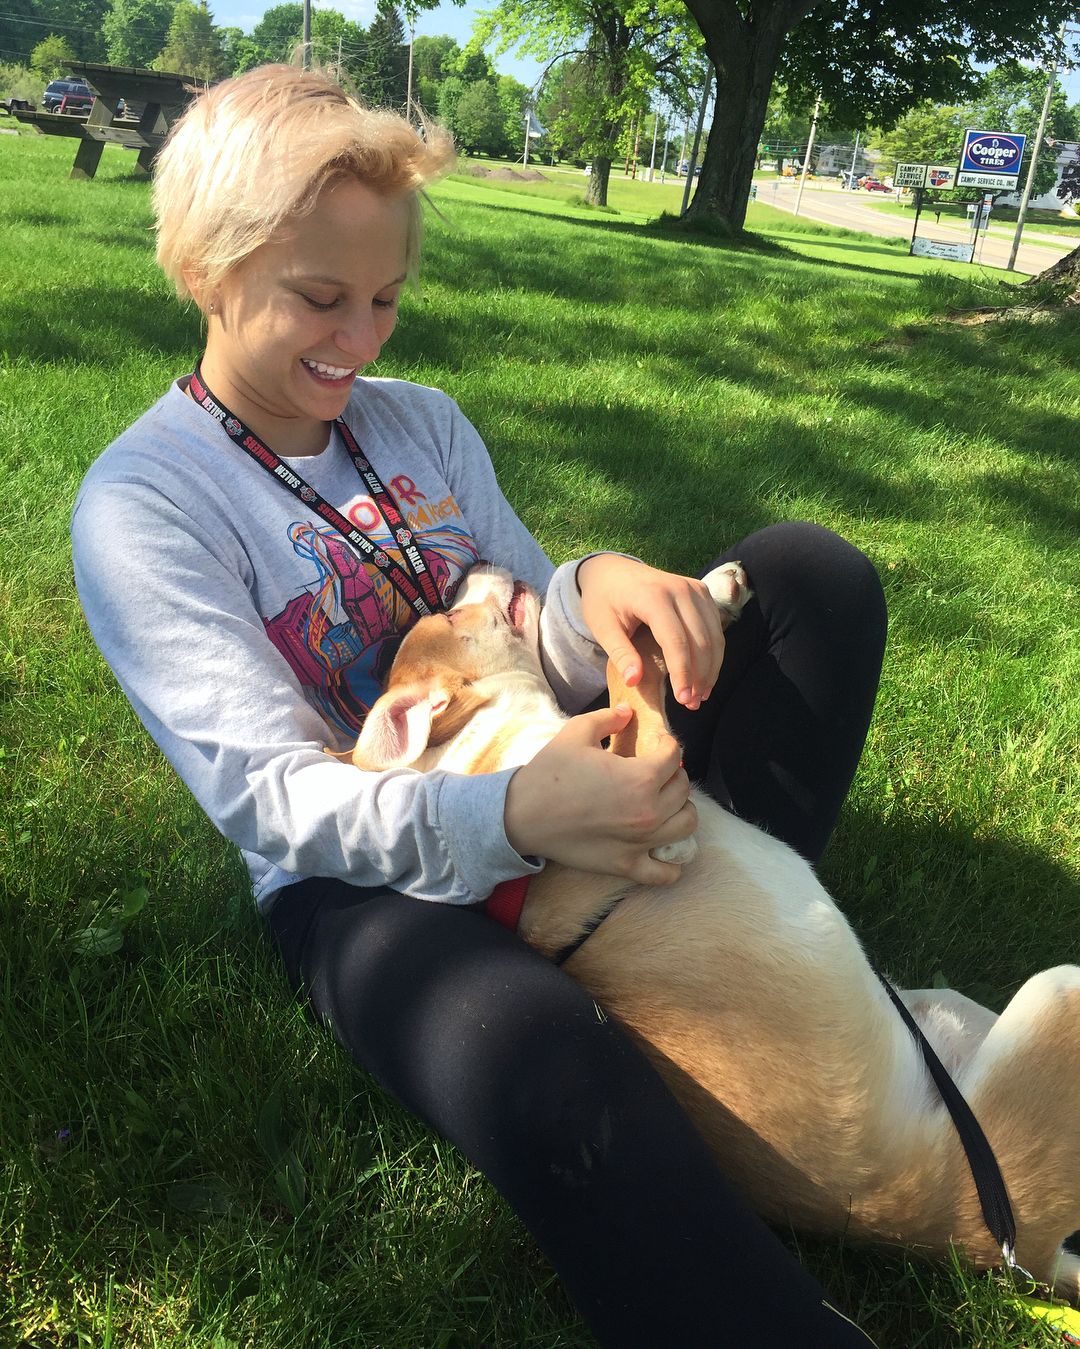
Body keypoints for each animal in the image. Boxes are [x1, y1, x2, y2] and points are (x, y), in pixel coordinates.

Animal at [350, 561, 1078, 1295]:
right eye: (451, 616)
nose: (464, 572)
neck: (485, 757)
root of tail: (1006, 1253)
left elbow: (635, 660)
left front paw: (687, 596)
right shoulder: (646, 800)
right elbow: (628, 674)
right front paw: (696, 600)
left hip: (951, 1011)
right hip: (1056, 992)